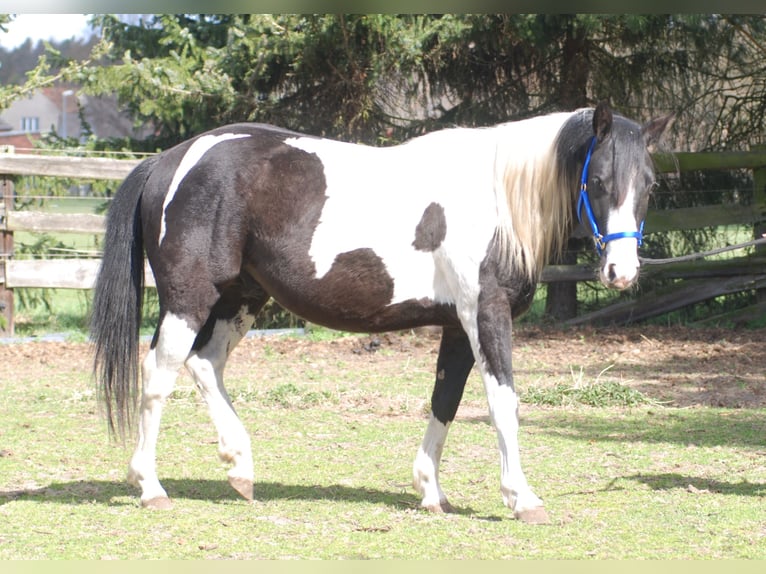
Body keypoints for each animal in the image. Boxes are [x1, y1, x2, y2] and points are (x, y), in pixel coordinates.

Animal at [90, 101, 672, 523]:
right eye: (598, 181)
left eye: (648, 183)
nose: (621, 271)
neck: (496, 199)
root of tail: (169, 160)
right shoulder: (485, 314)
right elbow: (502, 402)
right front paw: (521, 498)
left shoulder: (456, 327)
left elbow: (445, 401)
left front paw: (431, 492)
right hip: (189, 298)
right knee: (158, 373)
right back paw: (150, 486)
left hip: (241, 298)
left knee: (205, 364)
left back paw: (241, 469)